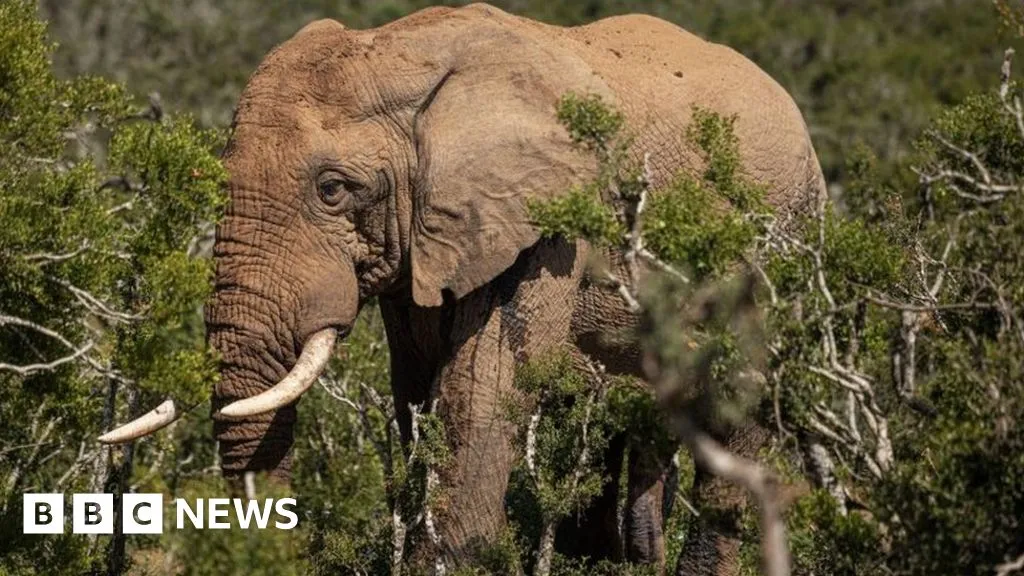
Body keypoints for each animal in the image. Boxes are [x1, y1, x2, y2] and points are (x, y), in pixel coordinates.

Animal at [101, 3, 823, 569]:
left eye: (333, 189)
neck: (405, 55)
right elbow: (417, 385)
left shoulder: (545, 221)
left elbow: (482, 386)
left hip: (781, 235)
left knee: (735, 405)